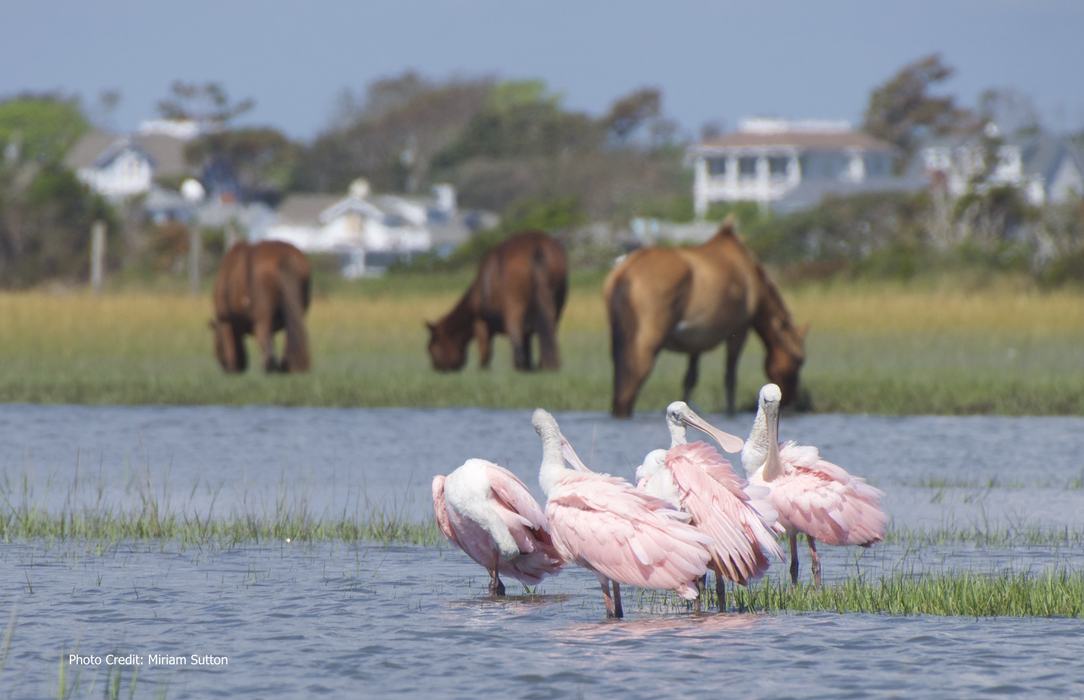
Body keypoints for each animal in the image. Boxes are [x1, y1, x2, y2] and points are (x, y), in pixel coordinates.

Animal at [210, 240, 312, 373]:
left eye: (217, 344)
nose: (224, 366)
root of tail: (285, 257)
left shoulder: (225, 320)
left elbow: (230, 344)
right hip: (297, 311)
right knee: (292, 334)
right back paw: (287, 366)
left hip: (262, 317)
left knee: (264, 337)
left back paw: (271, 367)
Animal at [427, 230, 568, 372]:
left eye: (431, 349)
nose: (436, 368)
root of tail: (536, 245)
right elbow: (527, 343)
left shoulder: (480, 323)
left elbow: (485, 351)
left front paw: (484, 369)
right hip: (557, 302)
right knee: (550, 331)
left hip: (514, 304)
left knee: (515, 330)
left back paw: (520, 364)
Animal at [604, 218, 807, 418]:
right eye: (799, 360)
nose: (791, 401)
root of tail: (625, 271)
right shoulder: (740, 330)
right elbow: (730, 377)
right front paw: (731, 413)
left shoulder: (696, 343)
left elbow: (690, 379)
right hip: (646, 343)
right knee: (631, 384)